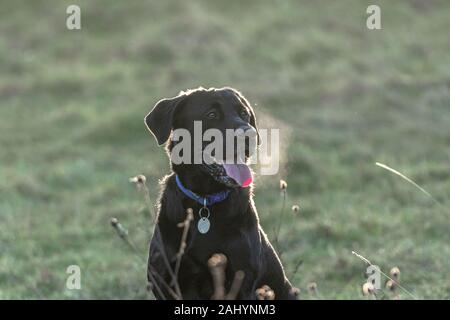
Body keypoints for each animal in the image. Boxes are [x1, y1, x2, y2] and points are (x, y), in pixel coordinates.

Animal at [146, 86, 298, 298]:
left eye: (244, 114)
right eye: (212, 114)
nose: (249, 135)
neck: (205, 201)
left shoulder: (243, 281)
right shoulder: (165, 282)